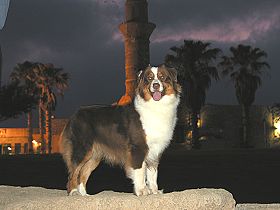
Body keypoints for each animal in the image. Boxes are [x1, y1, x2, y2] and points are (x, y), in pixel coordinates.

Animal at [59, 64, 182, 197]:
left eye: (162, 77)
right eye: (149, 78)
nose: (155, 85)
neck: (156, 106)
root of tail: (74, 115)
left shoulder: (155, 149)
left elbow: (153, 172)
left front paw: (154, 191)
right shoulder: (138, 147)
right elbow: (140, 170)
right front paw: (141, 190)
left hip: (94, 155)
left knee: (82, 174)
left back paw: (84, 195)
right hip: (82, 149)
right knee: (73, 173)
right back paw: (73, 192)